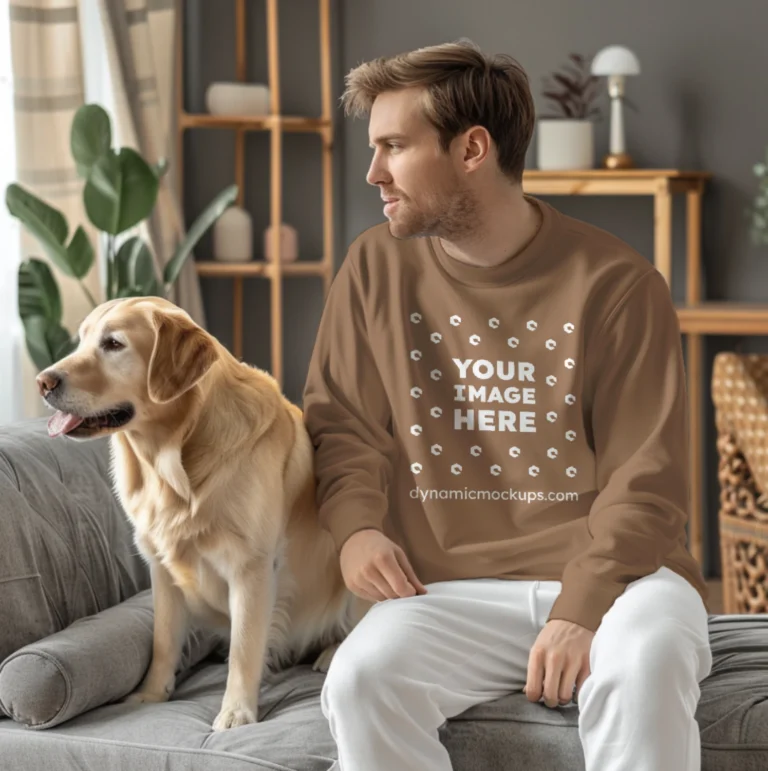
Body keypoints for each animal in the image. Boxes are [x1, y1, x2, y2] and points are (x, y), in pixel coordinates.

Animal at [37, 294, 368, 728]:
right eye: (81, 339)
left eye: (113, 344)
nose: (43, 382)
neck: (173, 459)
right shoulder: (161, 568)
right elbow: (163, 640)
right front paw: (152, 694)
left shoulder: (251, 567)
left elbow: (245, 648)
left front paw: (236, 711)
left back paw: (332, 652)